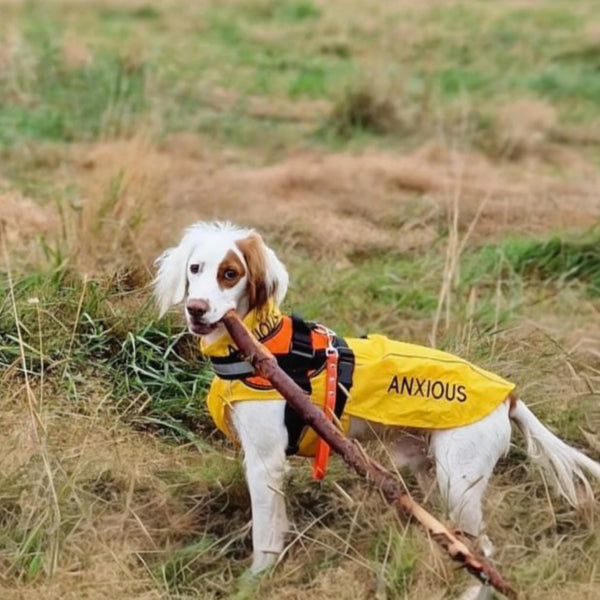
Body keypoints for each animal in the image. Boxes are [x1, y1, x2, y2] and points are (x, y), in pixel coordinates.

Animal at [154, 221, 600, 600]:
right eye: (195, 268)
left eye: (230, 274)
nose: (196, 308)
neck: (261, 343)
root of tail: (507, 395)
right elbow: (276, 528)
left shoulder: (266, 461)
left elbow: (264, 537)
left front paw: (253, 583)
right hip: (431, 475)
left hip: (460, 481)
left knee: (484, 553)